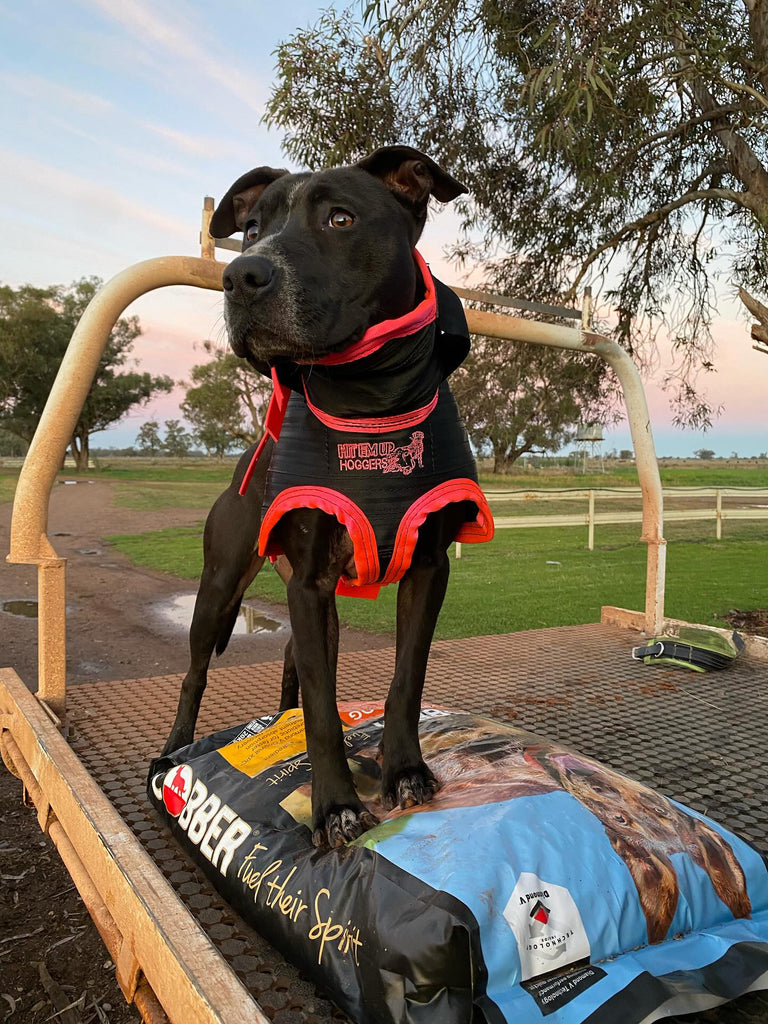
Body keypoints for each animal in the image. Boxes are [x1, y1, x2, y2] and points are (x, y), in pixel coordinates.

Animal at [162, 147, 494, 849]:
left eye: (340, 218)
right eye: (251, 228)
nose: (239, 276)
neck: (374, 401)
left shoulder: (428, 568)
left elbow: (405, 679)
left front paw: (404, 770)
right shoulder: (310, 584)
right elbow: (320, 706)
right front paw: (335, 805)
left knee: (293, 659)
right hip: (219, 585)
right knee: (197, 672)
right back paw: (176, 748)